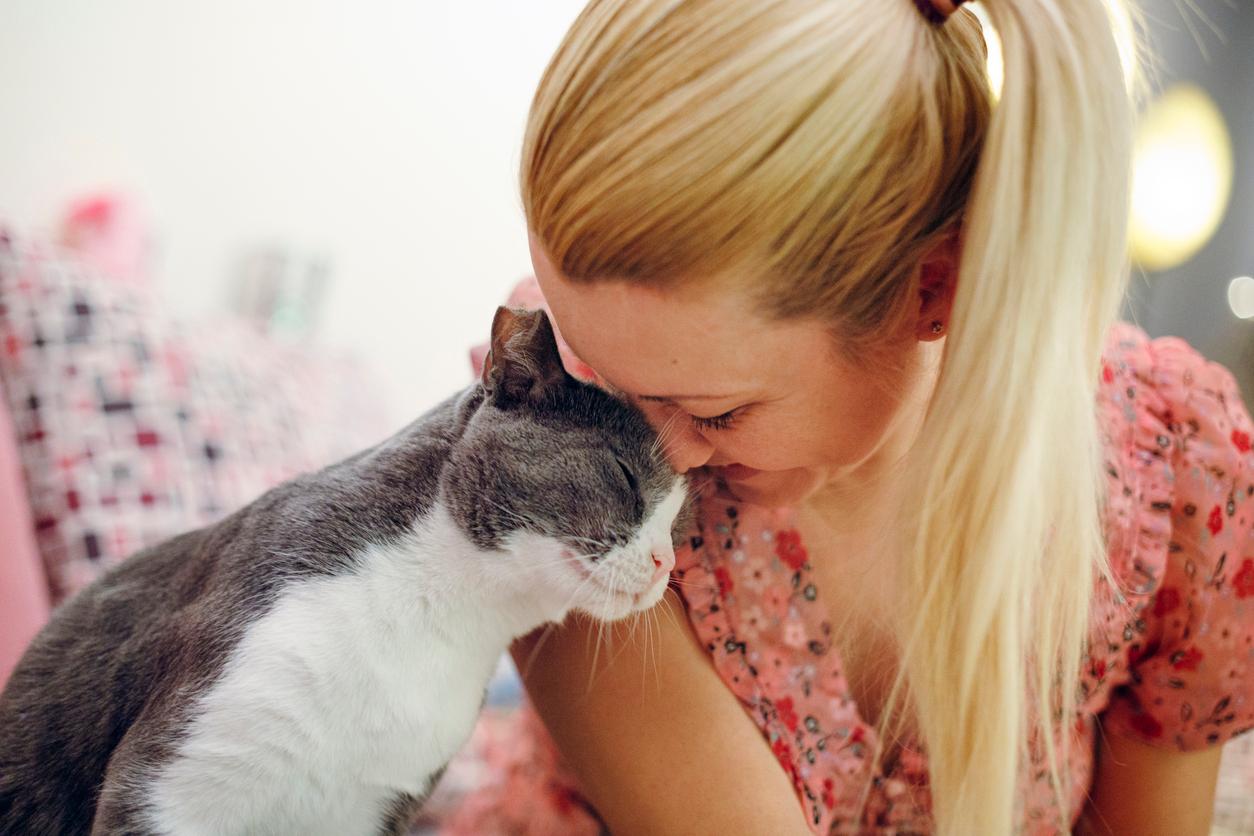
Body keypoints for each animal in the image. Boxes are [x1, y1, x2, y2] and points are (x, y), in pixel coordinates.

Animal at [0, 307, 687, 836]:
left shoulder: (371, 807)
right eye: (624, 478)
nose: (666, 563)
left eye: (678, 525)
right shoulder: (174, 783)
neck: (443, 622)